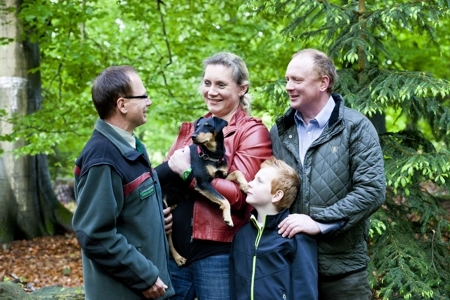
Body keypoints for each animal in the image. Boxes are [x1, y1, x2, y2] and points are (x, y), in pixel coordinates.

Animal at [157, 116, 248, 266]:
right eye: (197, 126)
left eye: (208, 125)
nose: (193, 136)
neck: (212, 155)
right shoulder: (203, 183)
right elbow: (224, 200)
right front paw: (228, 218)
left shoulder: (221, 176)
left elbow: (237, 172)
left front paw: (245, 185)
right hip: (164, 213)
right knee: (168, 237)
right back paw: (178, 258)